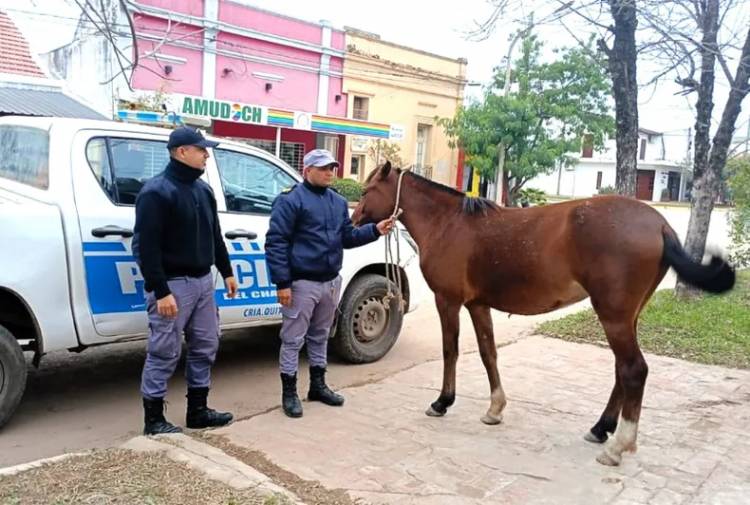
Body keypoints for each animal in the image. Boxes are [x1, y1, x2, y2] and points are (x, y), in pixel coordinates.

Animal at [352, 162, 734, 466]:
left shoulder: (449, 300)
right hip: (628, 316)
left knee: (634, 370)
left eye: (369, 190)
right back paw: (601, 428)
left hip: (613, 316)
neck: (449, 223)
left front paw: (443, 401)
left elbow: (451, 351)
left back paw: (618, 446)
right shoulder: (478, 304)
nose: (353, 221)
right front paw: (495, 409)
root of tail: (659, 225)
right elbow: (488, 353)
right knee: (622, 370)